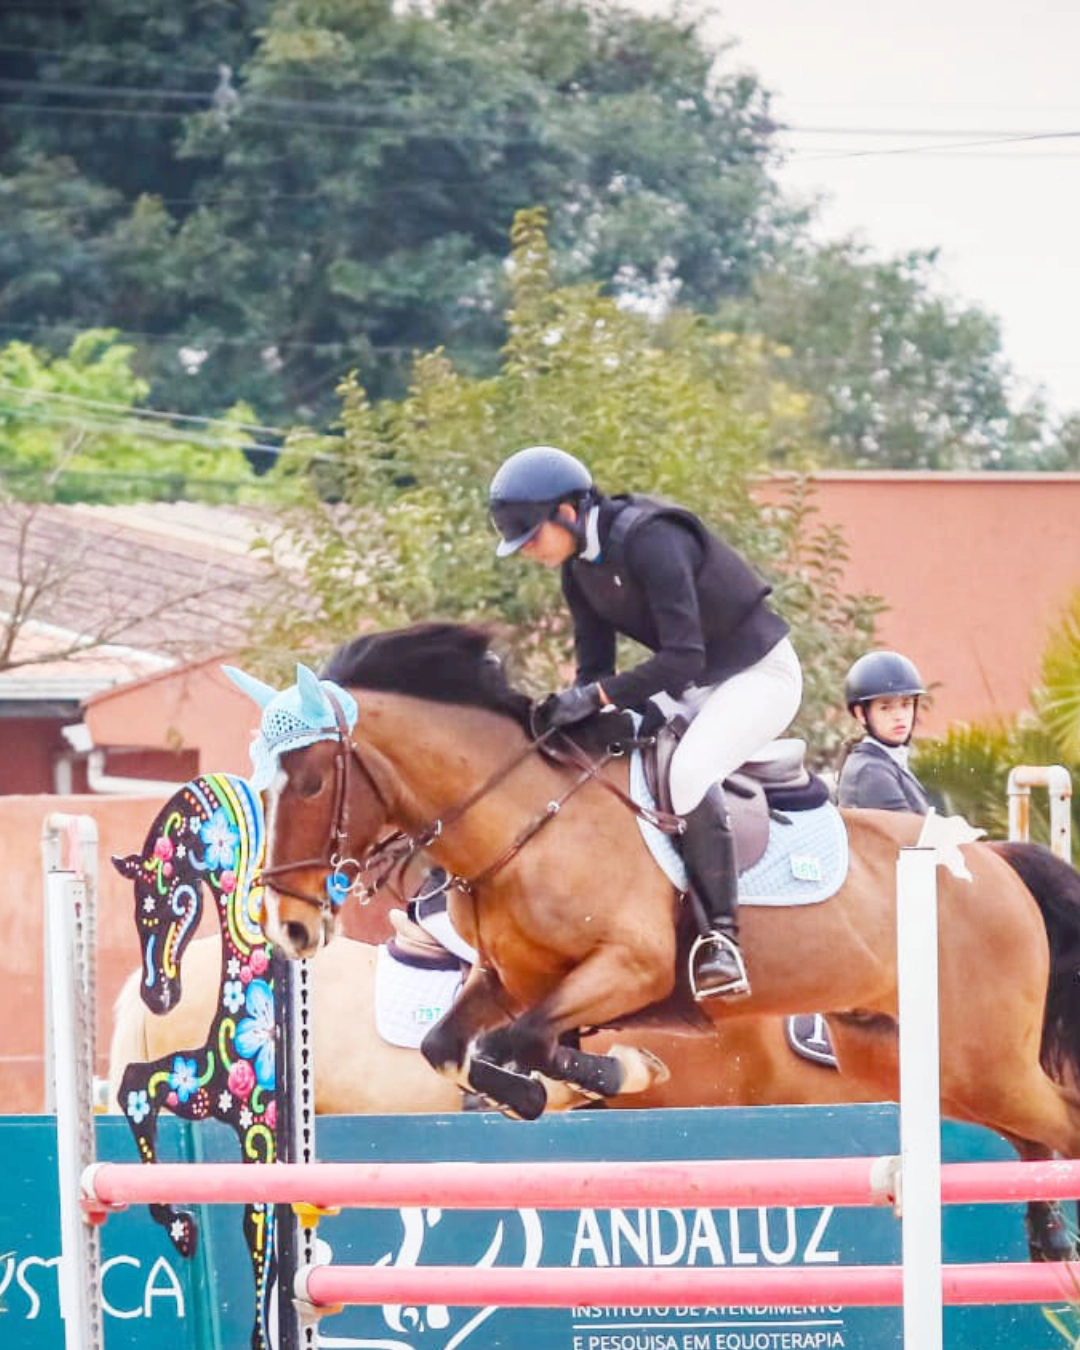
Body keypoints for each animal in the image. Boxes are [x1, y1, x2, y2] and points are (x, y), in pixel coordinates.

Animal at [229, 621, 1080, 1252]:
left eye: (311, 782)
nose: (290, 927)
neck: (526, 819)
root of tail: (993, 862)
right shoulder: (512, 982)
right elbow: (457, 1046)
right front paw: (589, 1080)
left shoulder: (628, 970)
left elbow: (518, 1045)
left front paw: (609, 1073)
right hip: (916, 1060)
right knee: (1033, 1140)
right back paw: (1046, 1239)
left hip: (985, 1060)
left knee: (1060, 1124)